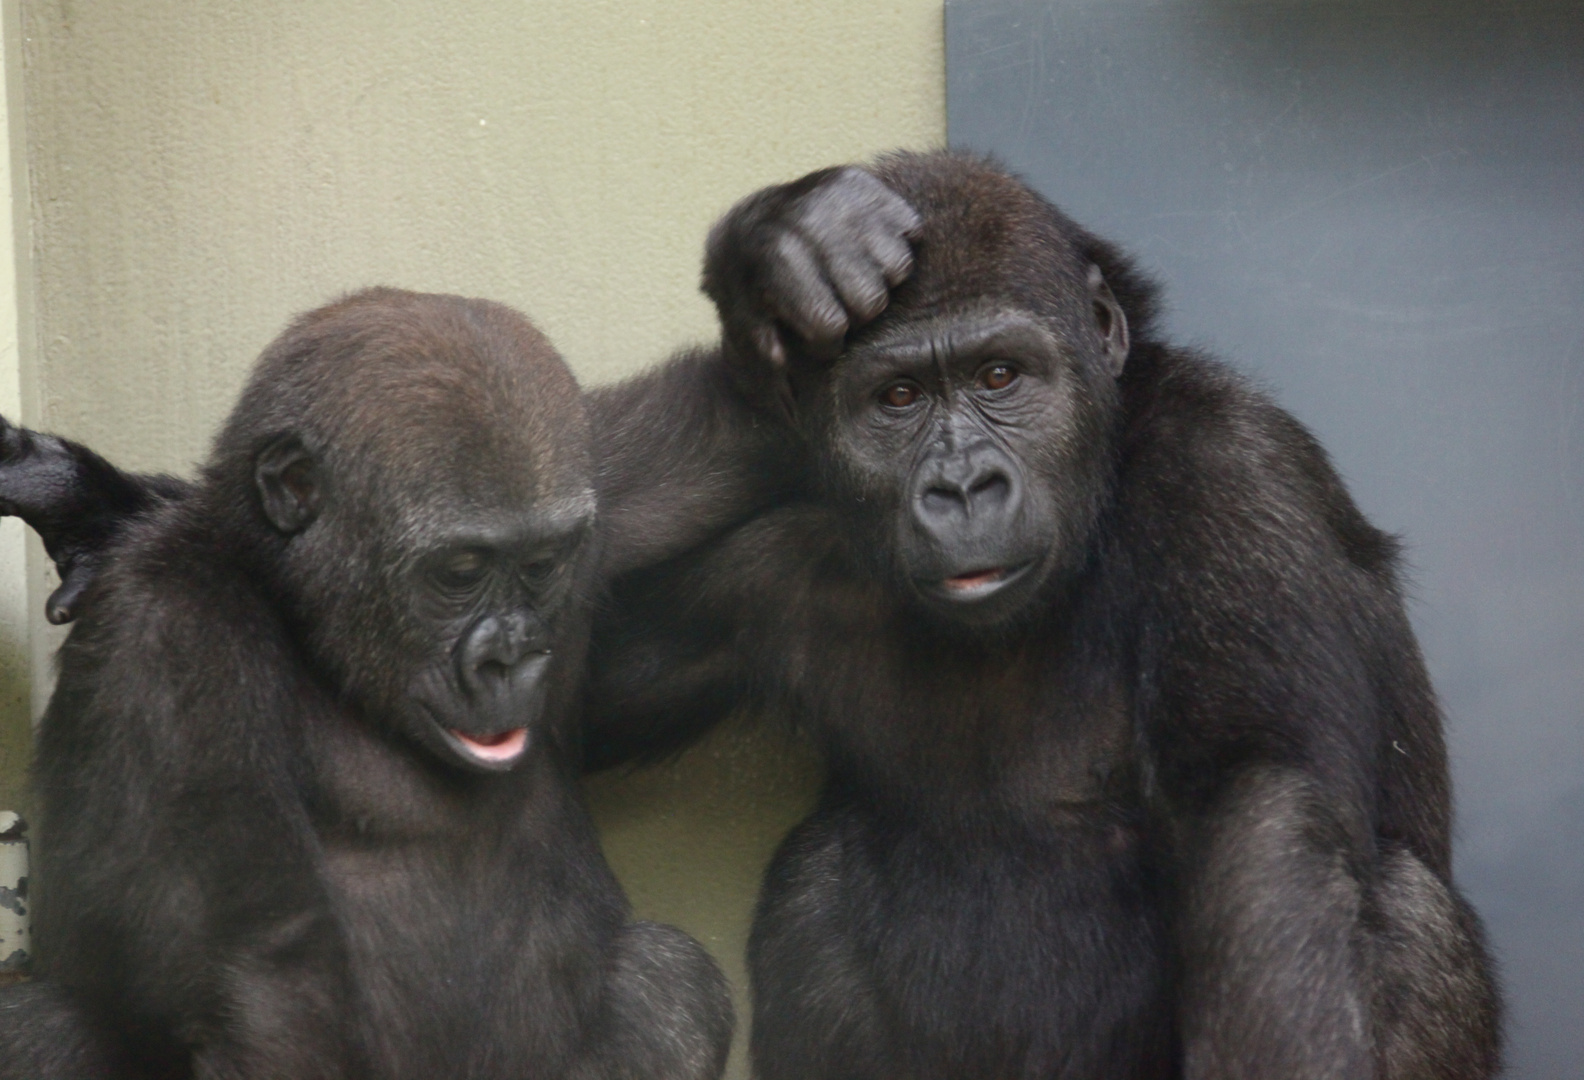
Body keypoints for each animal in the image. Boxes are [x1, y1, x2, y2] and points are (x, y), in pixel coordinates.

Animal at [0, 288, 734, 1076]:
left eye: (541, 564)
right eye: (460, 572)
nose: (511, 657)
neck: (296, 612)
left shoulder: (594, 502)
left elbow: (691, 453)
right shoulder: (165, 628)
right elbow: (269, 984)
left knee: (671, 976)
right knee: (43, 1025)